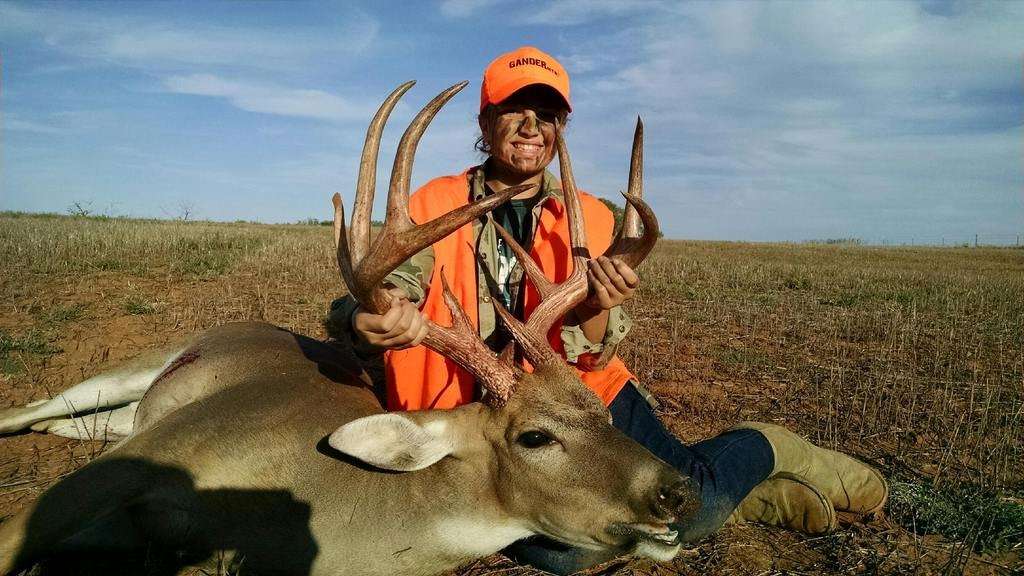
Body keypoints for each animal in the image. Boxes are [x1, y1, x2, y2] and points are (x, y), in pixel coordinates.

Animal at [0, 80, 700, 576]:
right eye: (534, 437)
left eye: (601, 413)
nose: (677, 491)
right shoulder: (160, 453)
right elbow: (16, 533)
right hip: (141, 369)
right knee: (31, 409)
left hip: (128, 414)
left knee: (67, 424)